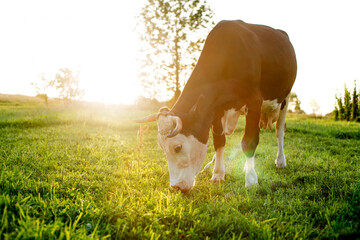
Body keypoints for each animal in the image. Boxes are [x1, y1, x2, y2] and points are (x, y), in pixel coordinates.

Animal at [136, 20, 298, 193]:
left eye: (178, 147)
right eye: (162, 148)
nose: (176, 187)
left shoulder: (254, 100)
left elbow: (249, 141)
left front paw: (251, 179)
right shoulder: (214, 108)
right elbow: (219, 141)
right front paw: (219, 174)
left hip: (285, 99)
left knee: (279, 131)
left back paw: (280, 161)